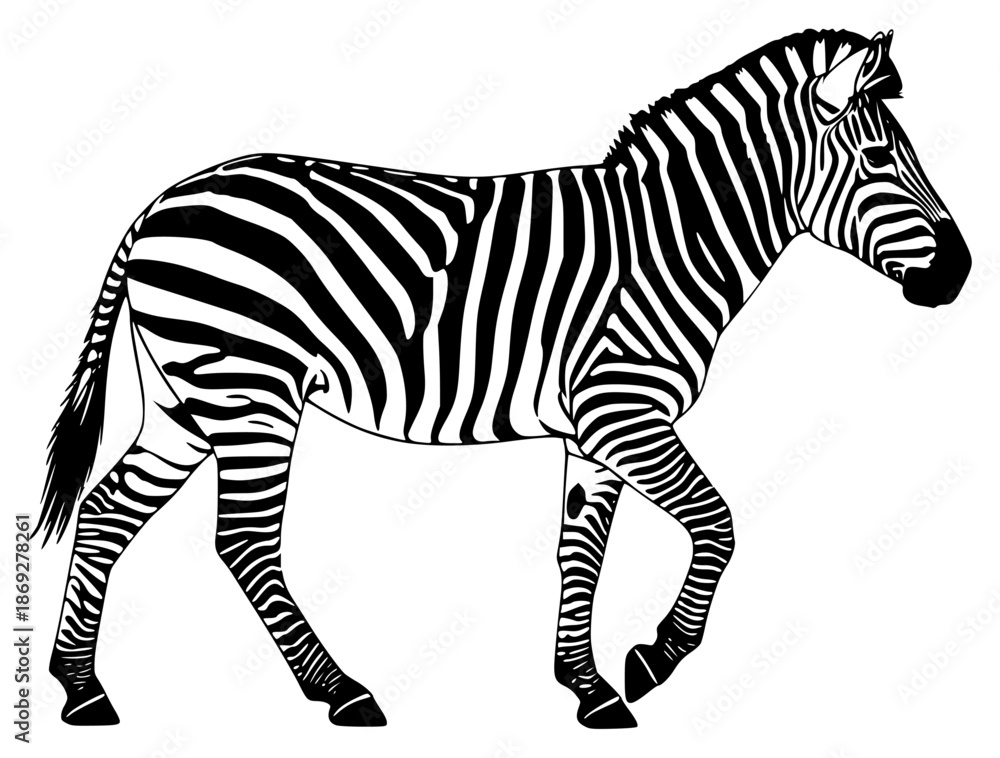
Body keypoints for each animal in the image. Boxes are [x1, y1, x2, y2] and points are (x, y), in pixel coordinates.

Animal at [37, 27, 970, 729]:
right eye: (879, 156)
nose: (960, 272)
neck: (669, 242)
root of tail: (159, 203)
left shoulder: (595, 429)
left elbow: (578, 550)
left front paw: (588, 690)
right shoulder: (624, 412)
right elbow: (719, 523)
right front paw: (655, 658)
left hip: (185, 400)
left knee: (108, 511)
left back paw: (80, 687)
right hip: (248, 389)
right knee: (244, 543)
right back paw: (342, 692)